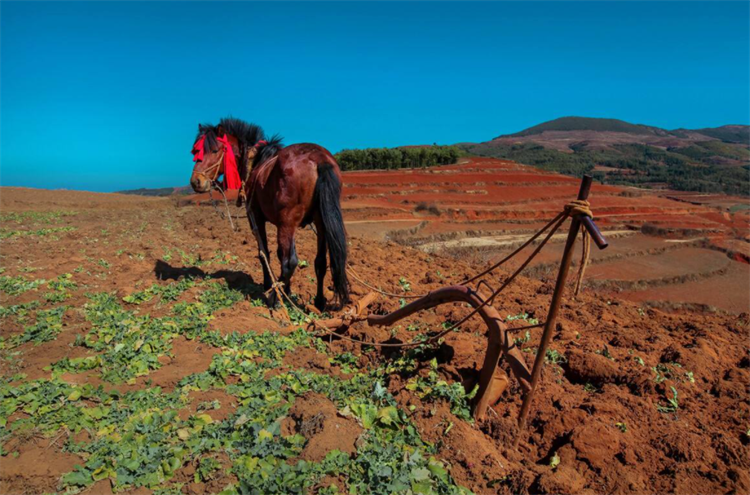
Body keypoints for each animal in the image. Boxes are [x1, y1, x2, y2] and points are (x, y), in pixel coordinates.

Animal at [189, 117, 352, 310]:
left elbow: (264, 253)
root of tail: (319, 159)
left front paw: (270, 286)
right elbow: (281, 254)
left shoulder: (256, 218)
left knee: (290, 263)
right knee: (319, 262)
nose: (196, 181)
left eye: (214, 150)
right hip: (319, 222)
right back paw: (319, 302)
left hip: (288, 222)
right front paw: (287, 290)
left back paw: (274, 299)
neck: (255, 162)